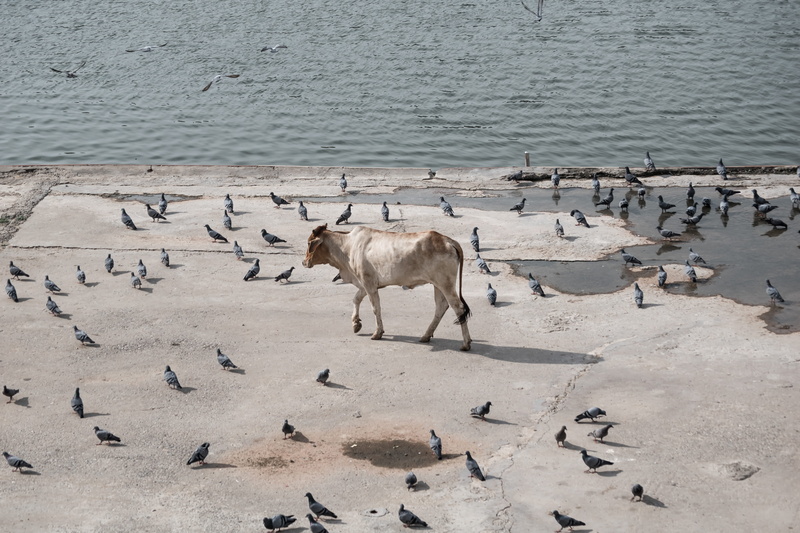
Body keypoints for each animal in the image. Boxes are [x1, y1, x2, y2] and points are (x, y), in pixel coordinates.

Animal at [303, 224, 472, 351]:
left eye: (309, 243)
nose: (304, 262)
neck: (347, 247)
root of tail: (449, 240)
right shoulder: (364, 284)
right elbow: (356, 299)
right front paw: (356, 323)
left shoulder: (368, 283)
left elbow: (375, 308)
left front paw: (377, 333)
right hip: (438, 285)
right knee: (441, 307)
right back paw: (425, 336)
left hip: (445, 283)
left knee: (458, 308)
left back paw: (466, 343)